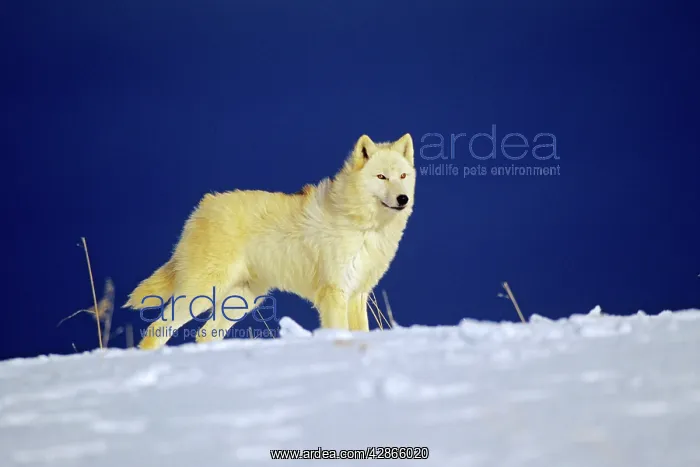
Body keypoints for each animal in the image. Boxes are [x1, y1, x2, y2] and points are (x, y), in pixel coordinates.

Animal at [124, 133, 416, 349]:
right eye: (381, 177)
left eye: (402, 176)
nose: (403, 199)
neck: (365, 227)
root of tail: (202, 207)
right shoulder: (334, 293)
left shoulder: (358, 294)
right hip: (203, 292)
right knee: (158, 329)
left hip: (241, 300)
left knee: (204, 334)